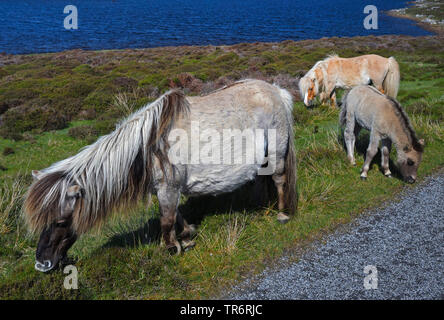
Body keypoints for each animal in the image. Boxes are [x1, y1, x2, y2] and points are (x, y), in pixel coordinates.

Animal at [22, 80, 296, 272]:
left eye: (60, 222)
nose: (42, 264)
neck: (145, 149)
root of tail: (277, 91)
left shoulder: (168, 187)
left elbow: (166, 219)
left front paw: (172, 248)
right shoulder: (166, 190)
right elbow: (174, 214)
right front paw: (187, 235)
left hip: (276, 154)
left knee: (279, 180)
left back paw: (282, 214)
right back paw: (262, 207)